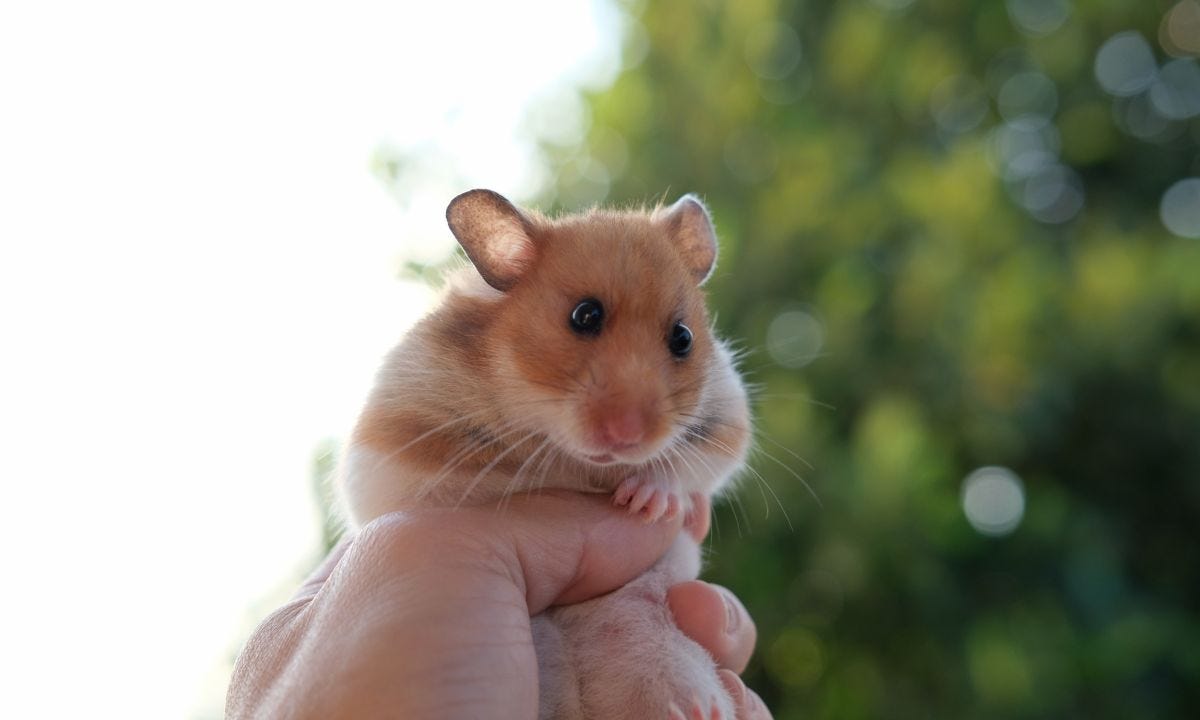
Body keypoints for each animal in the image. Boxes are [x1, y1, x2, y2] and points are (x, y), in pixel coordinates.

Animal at [340, 188, 752, 719]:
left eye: (683, 338)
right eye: (584, 315)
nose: (627, 436)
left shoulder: (727, 419)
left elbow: (692, 466)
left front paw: (651, 501)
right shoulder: (392, 453)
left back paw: (702, 706)